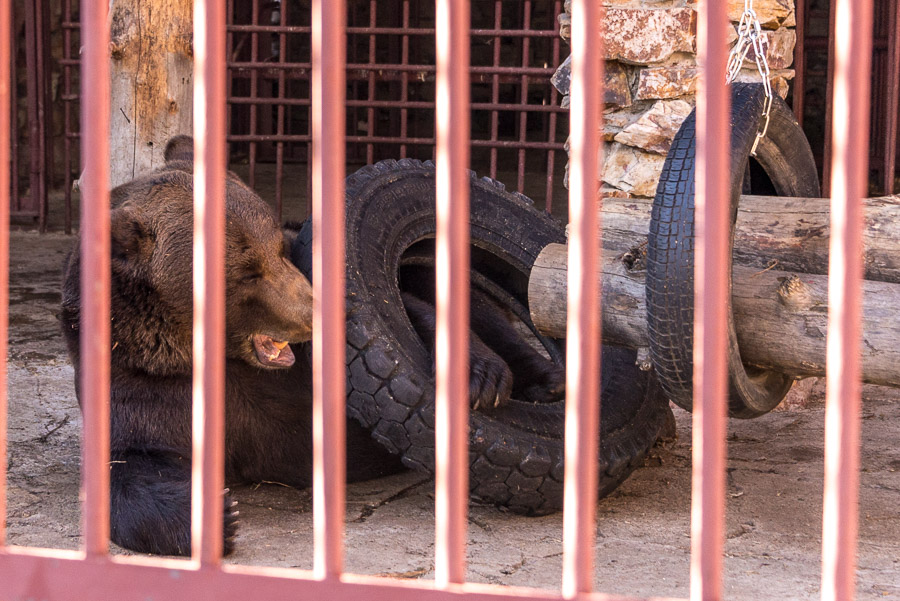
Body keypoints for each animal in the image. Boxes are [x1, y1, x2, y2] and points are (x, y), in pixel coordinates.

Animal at [60, 135, 400, 552]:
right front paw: (217, 514)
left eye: (280, 249)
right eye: (247, 272)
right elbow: (128, 462)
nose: (314, 312)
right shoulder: (139, 378)